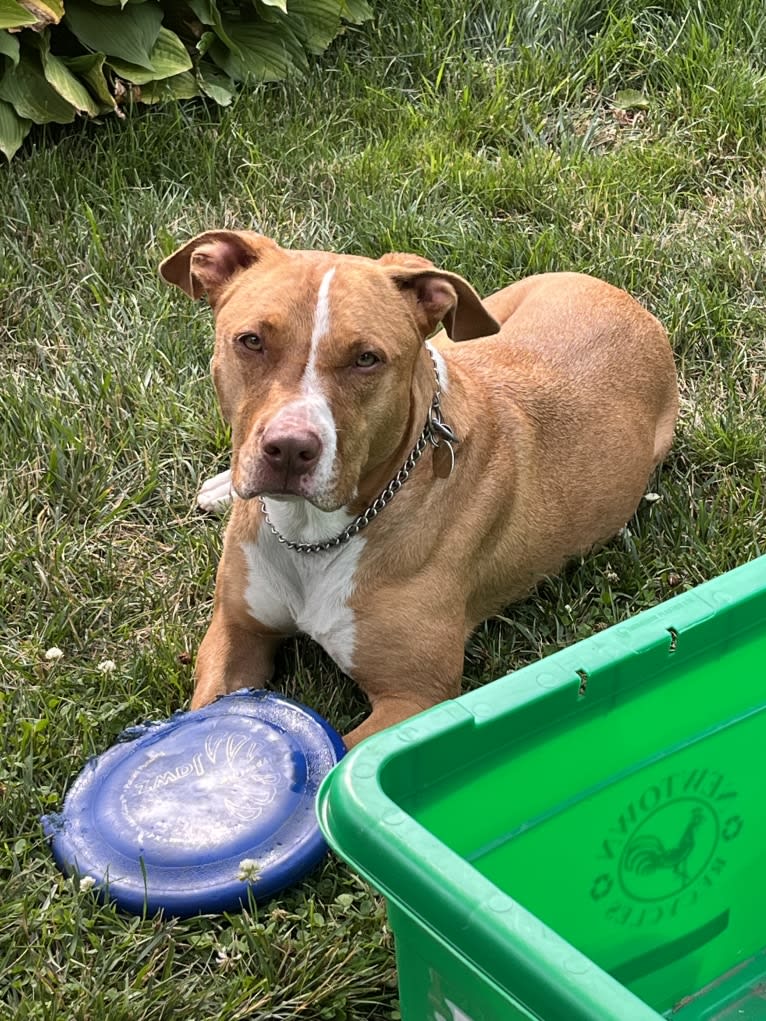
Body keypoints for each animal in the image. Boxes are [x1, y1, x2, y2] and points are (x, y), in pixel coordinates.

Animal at [160, 236, 678, 751]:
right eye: (252, 341)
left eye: (366, 358)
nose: (289, 448)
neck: (313, 533)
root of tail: (620, 297)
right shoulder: (236, 631)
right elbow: (206, 711)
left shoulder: (414, 697)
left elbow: (339, 759)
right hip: (465, 333)